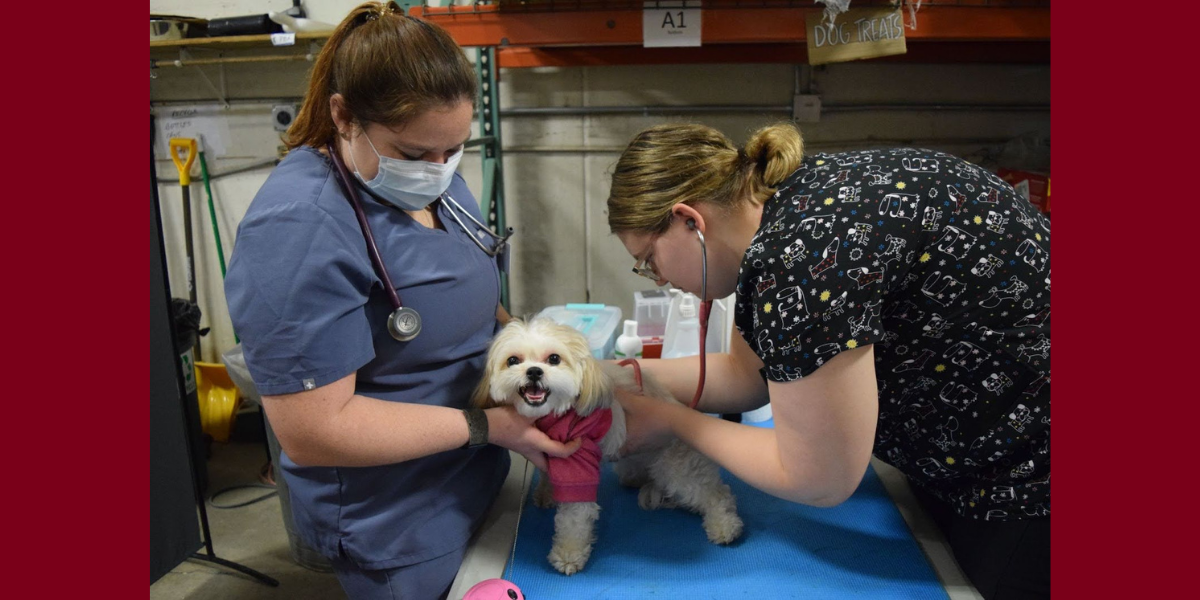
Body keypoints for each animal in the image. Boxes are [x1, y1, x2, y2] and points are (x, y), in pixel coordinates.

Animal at [470, 319, 739, 576]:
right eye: (513, 360)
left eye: (554, 359)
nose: (534, 371)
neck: (552, 413)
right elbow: (548, 472)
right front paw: (546, 492)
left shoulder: (579, 457)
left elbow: (575, 516)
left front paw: (569, 553)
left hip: (675, 466)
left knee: (714, 492)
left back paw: (724, 526)